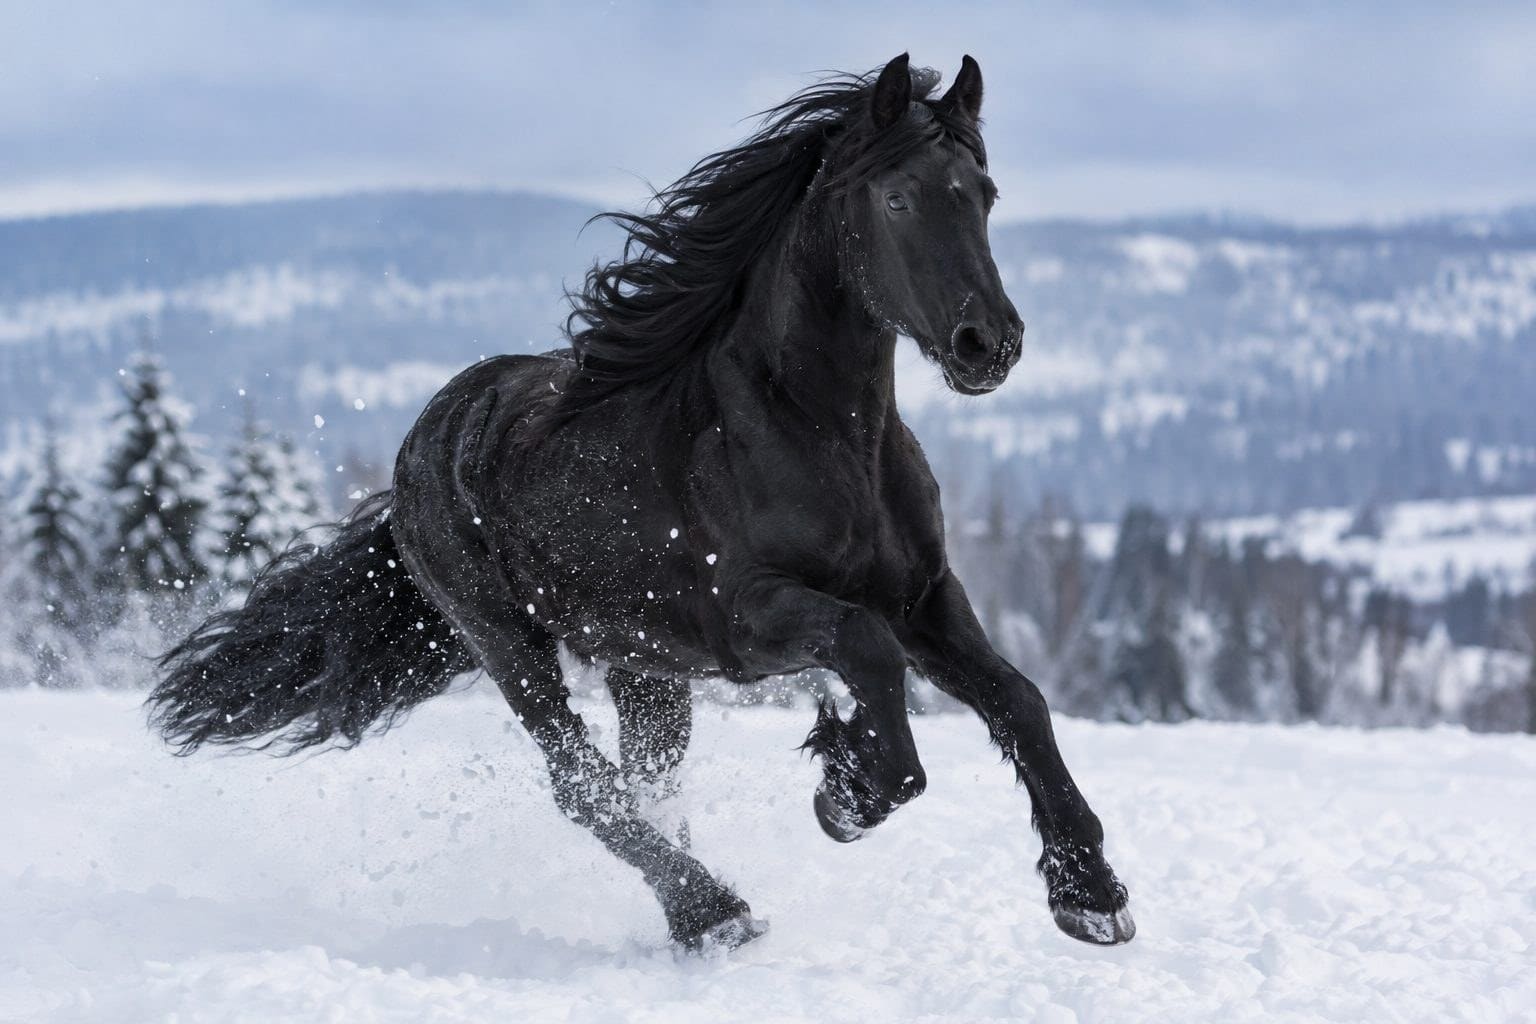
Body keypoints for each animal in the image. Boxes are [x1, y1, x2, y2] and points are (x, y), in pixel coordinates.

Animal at [149, 53, 1135, 951]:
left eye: (984, 193)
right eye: (897, 199)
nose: (988, 344)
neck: (817, 437)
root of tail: (419, 451)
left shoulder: (924, 597)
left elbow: (1018, 699)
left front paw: (1090, 895)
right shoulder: (753, 617)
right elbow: (870, 658)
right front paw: (847, 791)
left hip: (645, 668)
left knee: (644, 783)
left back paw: (696, 913)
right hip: (507, 643)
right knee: (582, 784)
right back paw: (713, 911)